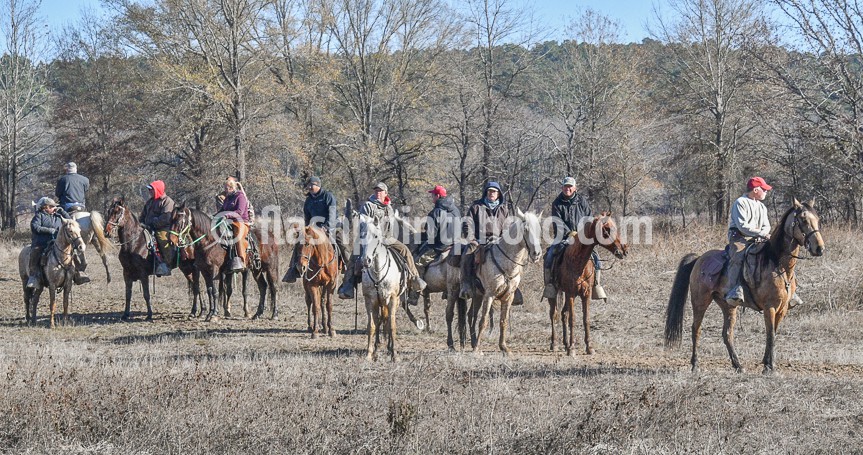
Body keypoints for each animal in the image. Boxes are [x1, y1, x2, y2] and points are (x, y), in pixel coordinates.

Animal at [468, 208, 543, 356]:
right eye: (526, 229)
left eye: (539, 229)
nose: (536, 254)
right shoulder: (489, 294)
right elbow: (484, 320)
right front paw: (476, 349)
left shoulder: (509, 296)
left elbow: (503, 321)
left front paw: (504, 347)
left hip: (477, 296)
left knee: (469, 316)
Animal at [550, 213, 628, 356]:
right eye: (607, 229)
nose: (623, 250)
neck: (578, 261)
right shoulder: (570, 293)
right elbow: (573, 319)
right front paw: (572, 348)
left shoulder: (586, 293)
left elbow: (586, 319)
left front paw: (589, 347)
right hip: (554, 293)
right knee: (554, 314)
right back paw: (555, 344)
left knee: (563, 314)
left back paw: (565, 344)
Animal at [665, 199, 825, 373]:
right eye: (803, 219)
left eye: (817, 219)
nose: (819, 248)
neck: (777, 264)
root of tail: (699, 258)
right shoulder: (769, 307)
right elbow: (771, 335)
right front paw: (769, 367)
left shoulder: (782, 309)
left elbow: (773, 333)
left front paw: (767, 363)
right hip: (700, 301)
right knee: (696, 329)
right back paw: (695, 365)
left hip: (728, 305)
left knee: (727, 334)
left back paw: (738, 365)